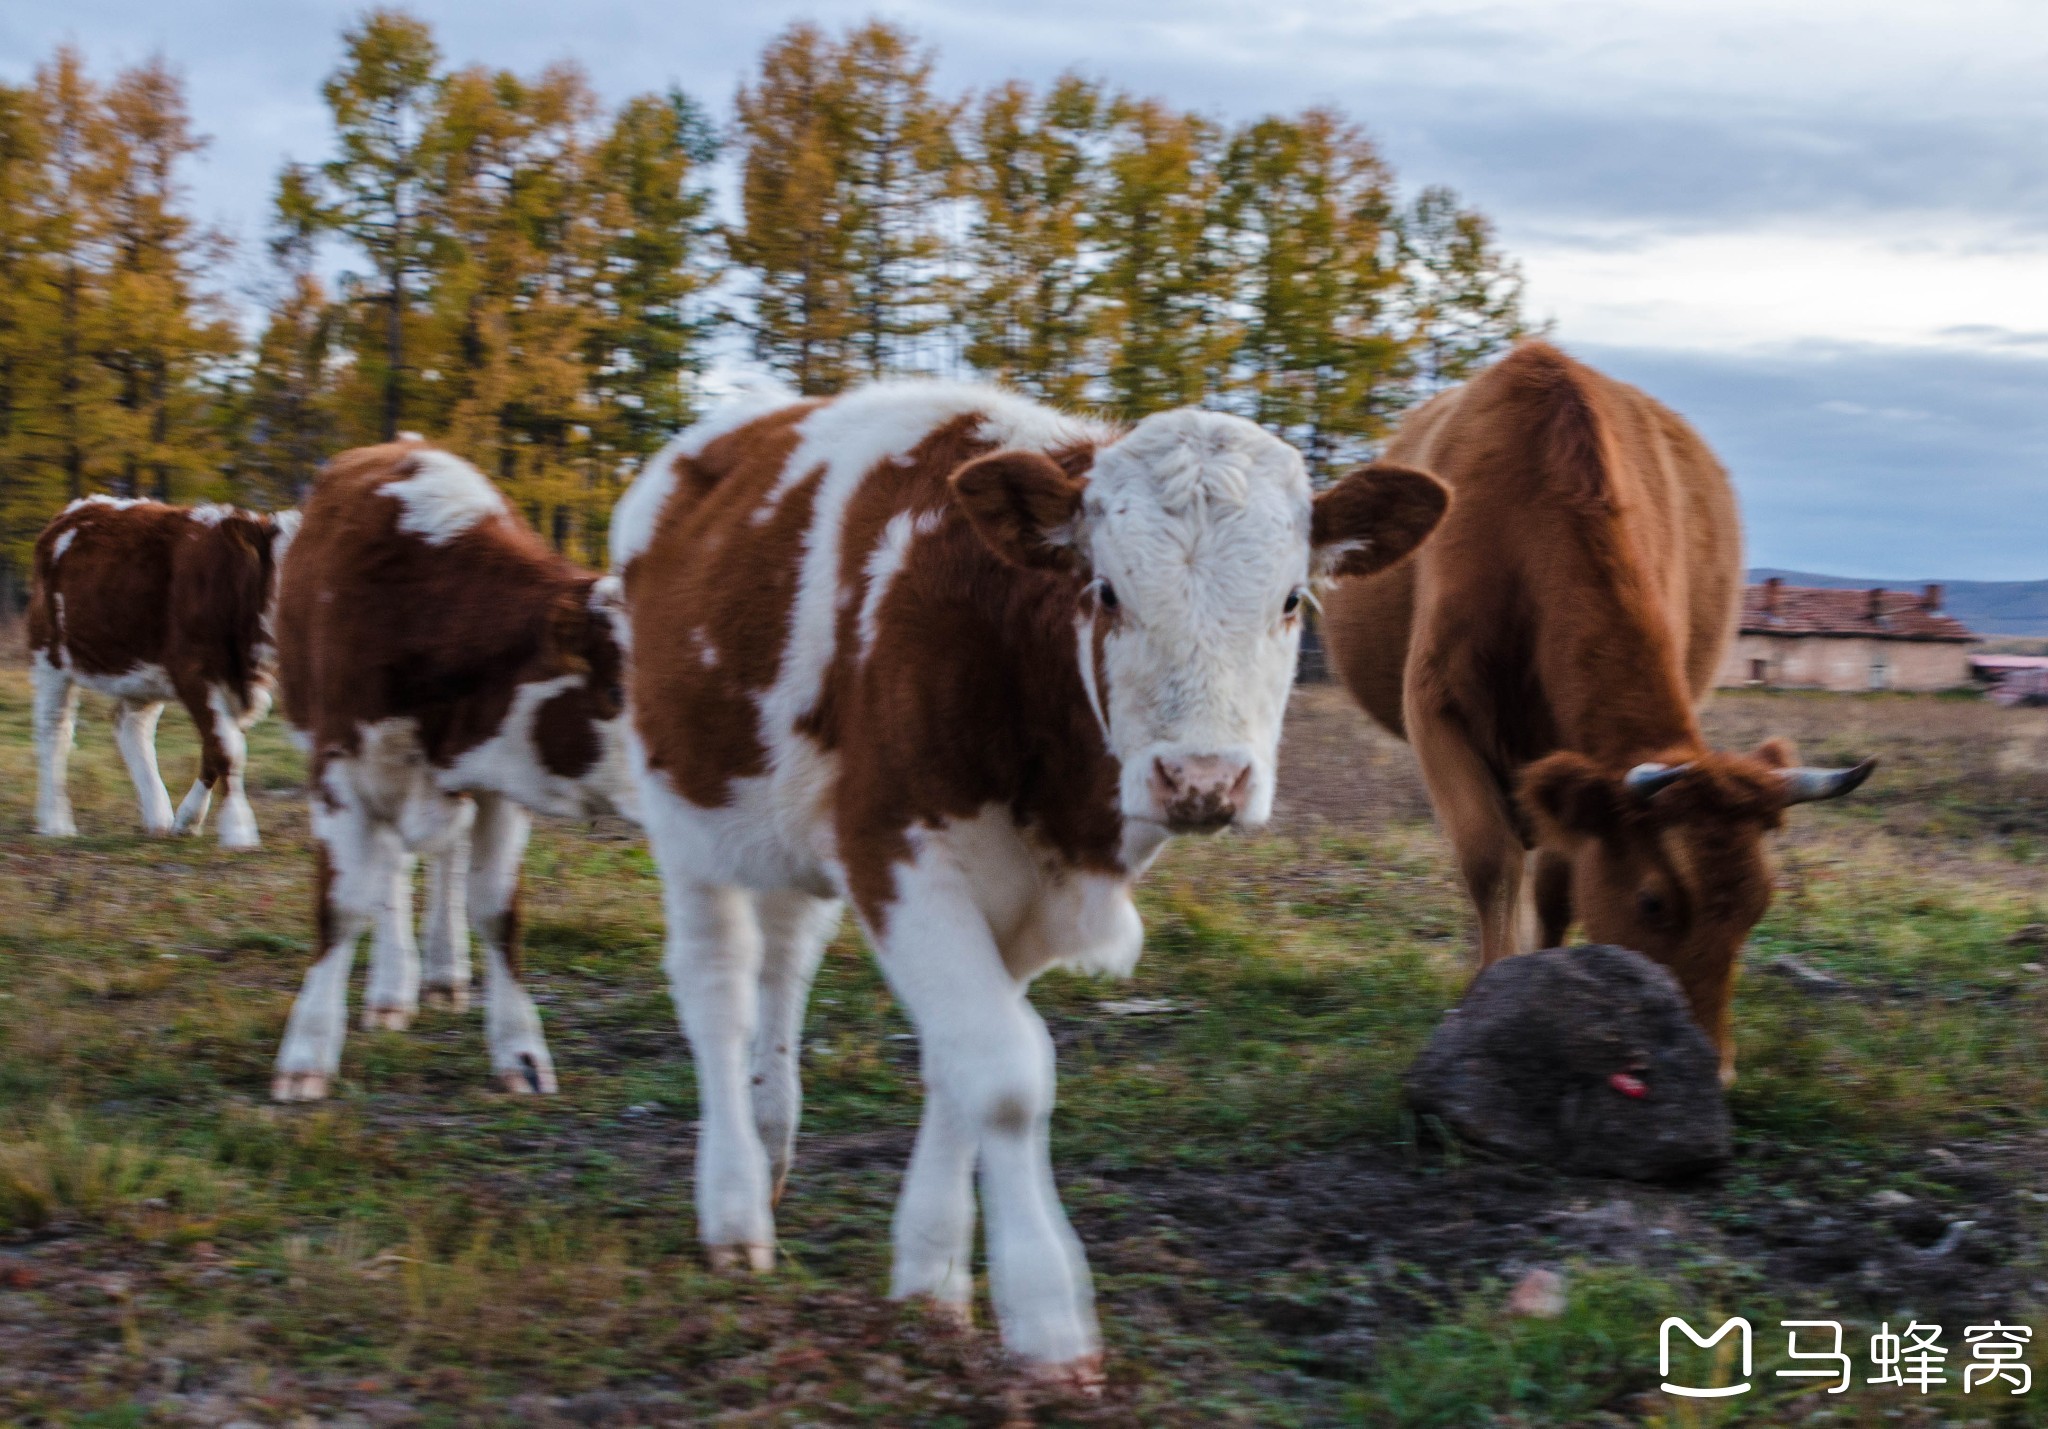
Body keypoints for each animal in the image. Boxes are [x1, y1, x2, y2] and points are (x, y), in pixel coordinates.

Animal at [29, 495, 299, 847]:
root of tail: (78, 508)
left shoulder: (242, 682)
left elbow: (215, 748)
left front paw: (187, 821)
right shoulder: (193, 671)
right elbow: (226, 749)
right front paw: (238, 829)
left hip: (140, 669)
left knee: (132, 728)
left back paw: (157, 816)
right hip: (49, 656)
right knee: (54, 731)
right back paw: (55, 823)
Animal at [272, 440, 634, 1097]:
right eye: (619, 691)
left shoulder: (499, 786)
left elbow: (497, 911)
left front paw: (520, 1050)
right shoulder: (339, 773)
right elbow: (341, 908)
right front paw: (307, 1052)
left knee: (444, 862)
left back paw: (442, 972)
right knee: (391, 872)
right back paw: (392, 988)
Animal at [614, 380, 1449, 1383]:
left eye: (1293, 599)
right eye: (1107, 590)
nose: (1202, 778)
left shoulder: (1015, 898)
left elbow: (959, 1064)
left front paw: (930, 1280)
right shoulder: (893, 846)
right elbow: (1006, 1073)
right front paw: (1049, 1319)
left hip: (782, 830)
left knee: (783, 965)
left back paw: (774, 1134)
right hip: (683, 804)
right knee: (718, 992)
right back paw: (736, 1209)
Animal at [1327, 348, 1875, 1080]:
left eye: (1759, 905)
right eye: (1652, 900)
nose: (1715, 1072)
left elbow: (1559, 888)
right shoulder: (1436, 709)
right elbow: (1490, 860)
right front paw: (1484, 996)